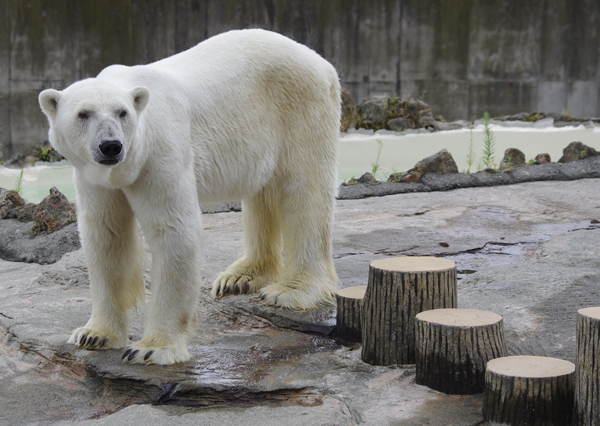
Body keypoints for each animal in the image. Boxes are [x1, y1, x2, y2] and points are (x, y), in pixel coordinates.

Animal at [39, 29, 342, 366]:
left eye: (122, 113)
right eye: (83, 114)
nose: (111, 146)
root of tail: (320, 61)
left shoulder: (160, 153)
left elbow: (173, 231)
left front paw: (151, 348)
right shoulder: (95, 177)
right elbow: (107, 235)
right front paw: (94, 334)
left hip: (299, 108)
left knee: (304, 192)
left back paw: (291, 290)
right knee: (261, 193)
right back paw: (239, 277)